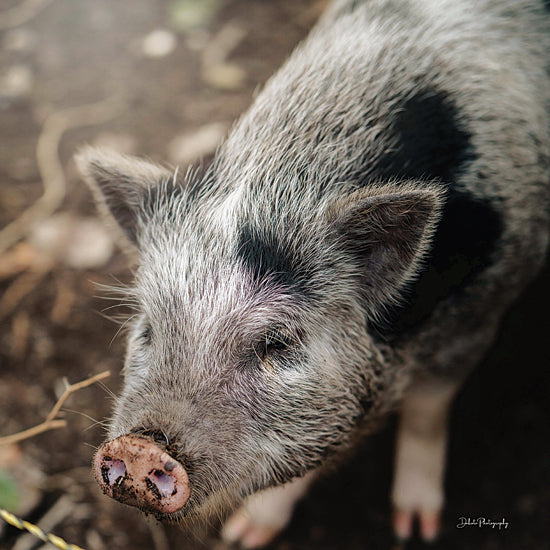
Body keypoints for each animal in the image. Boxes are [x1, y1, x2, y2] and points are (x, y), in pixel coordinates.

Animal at [76, 0, 550, 548]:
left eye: (277, 343)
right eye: (150, 329)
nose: (140, 448)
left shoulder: (481, 312)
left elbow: (426, 413)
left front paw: (415, 531)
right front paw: (243, 535)